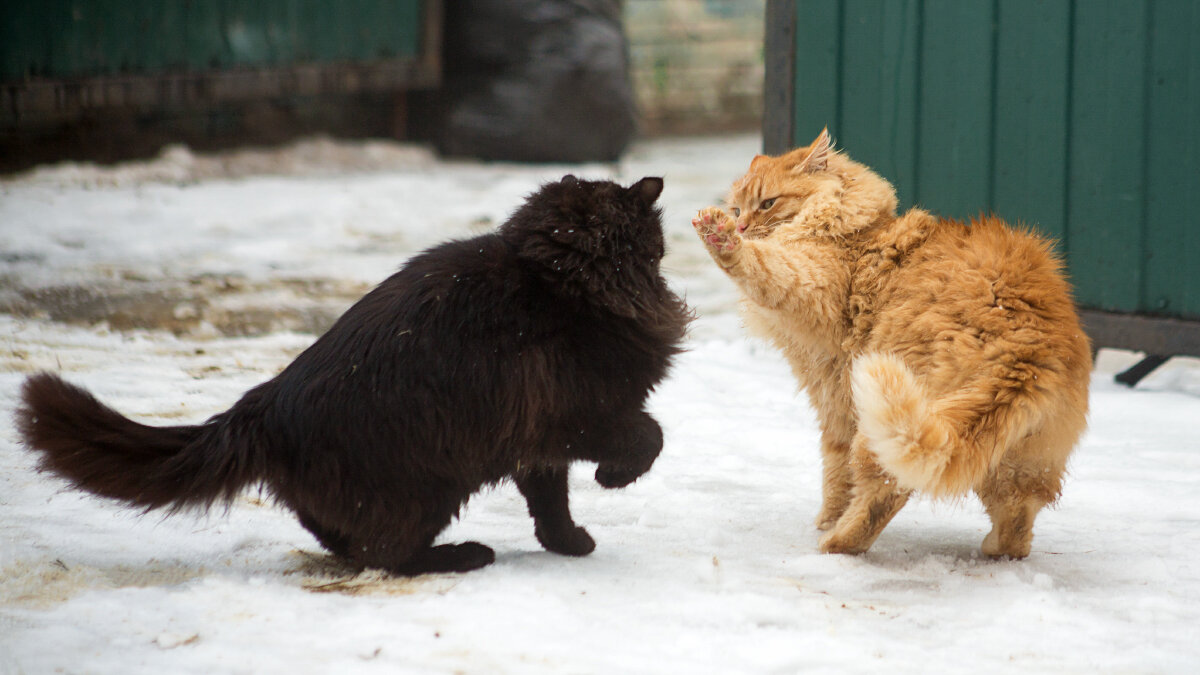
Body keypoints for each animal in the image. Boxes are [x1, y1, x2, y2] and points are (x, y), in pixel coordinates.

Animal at [14, 172, 691, 571]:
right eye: (654, 239)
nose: (668, 246)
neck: (559, 279)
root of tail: (261, 404)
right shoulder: (576, 416)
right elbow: (648, 436)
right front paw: (614, 479)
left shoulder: (537, 442)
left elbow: (550, 502)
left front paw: (569, 543)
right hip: (428, 485)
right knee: (385, 555)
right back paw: (463, 555)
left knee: (347, 542)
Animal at [691, 127, 1094, 557]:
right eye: (738, 210)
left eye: (767, 204)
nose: (741, 227)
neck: (851, 227)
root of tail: (1029, 349)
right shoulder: (834, 401)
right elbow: (836, 471)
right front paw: (828, 517)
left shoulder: (810, 298)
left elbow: (762, 267)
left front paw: (721, 239)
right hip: (1017, 460)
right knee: (1018, 524)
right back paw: (993, 548)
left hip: (886, 424)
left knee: (884, 495)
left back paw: (834, 544)